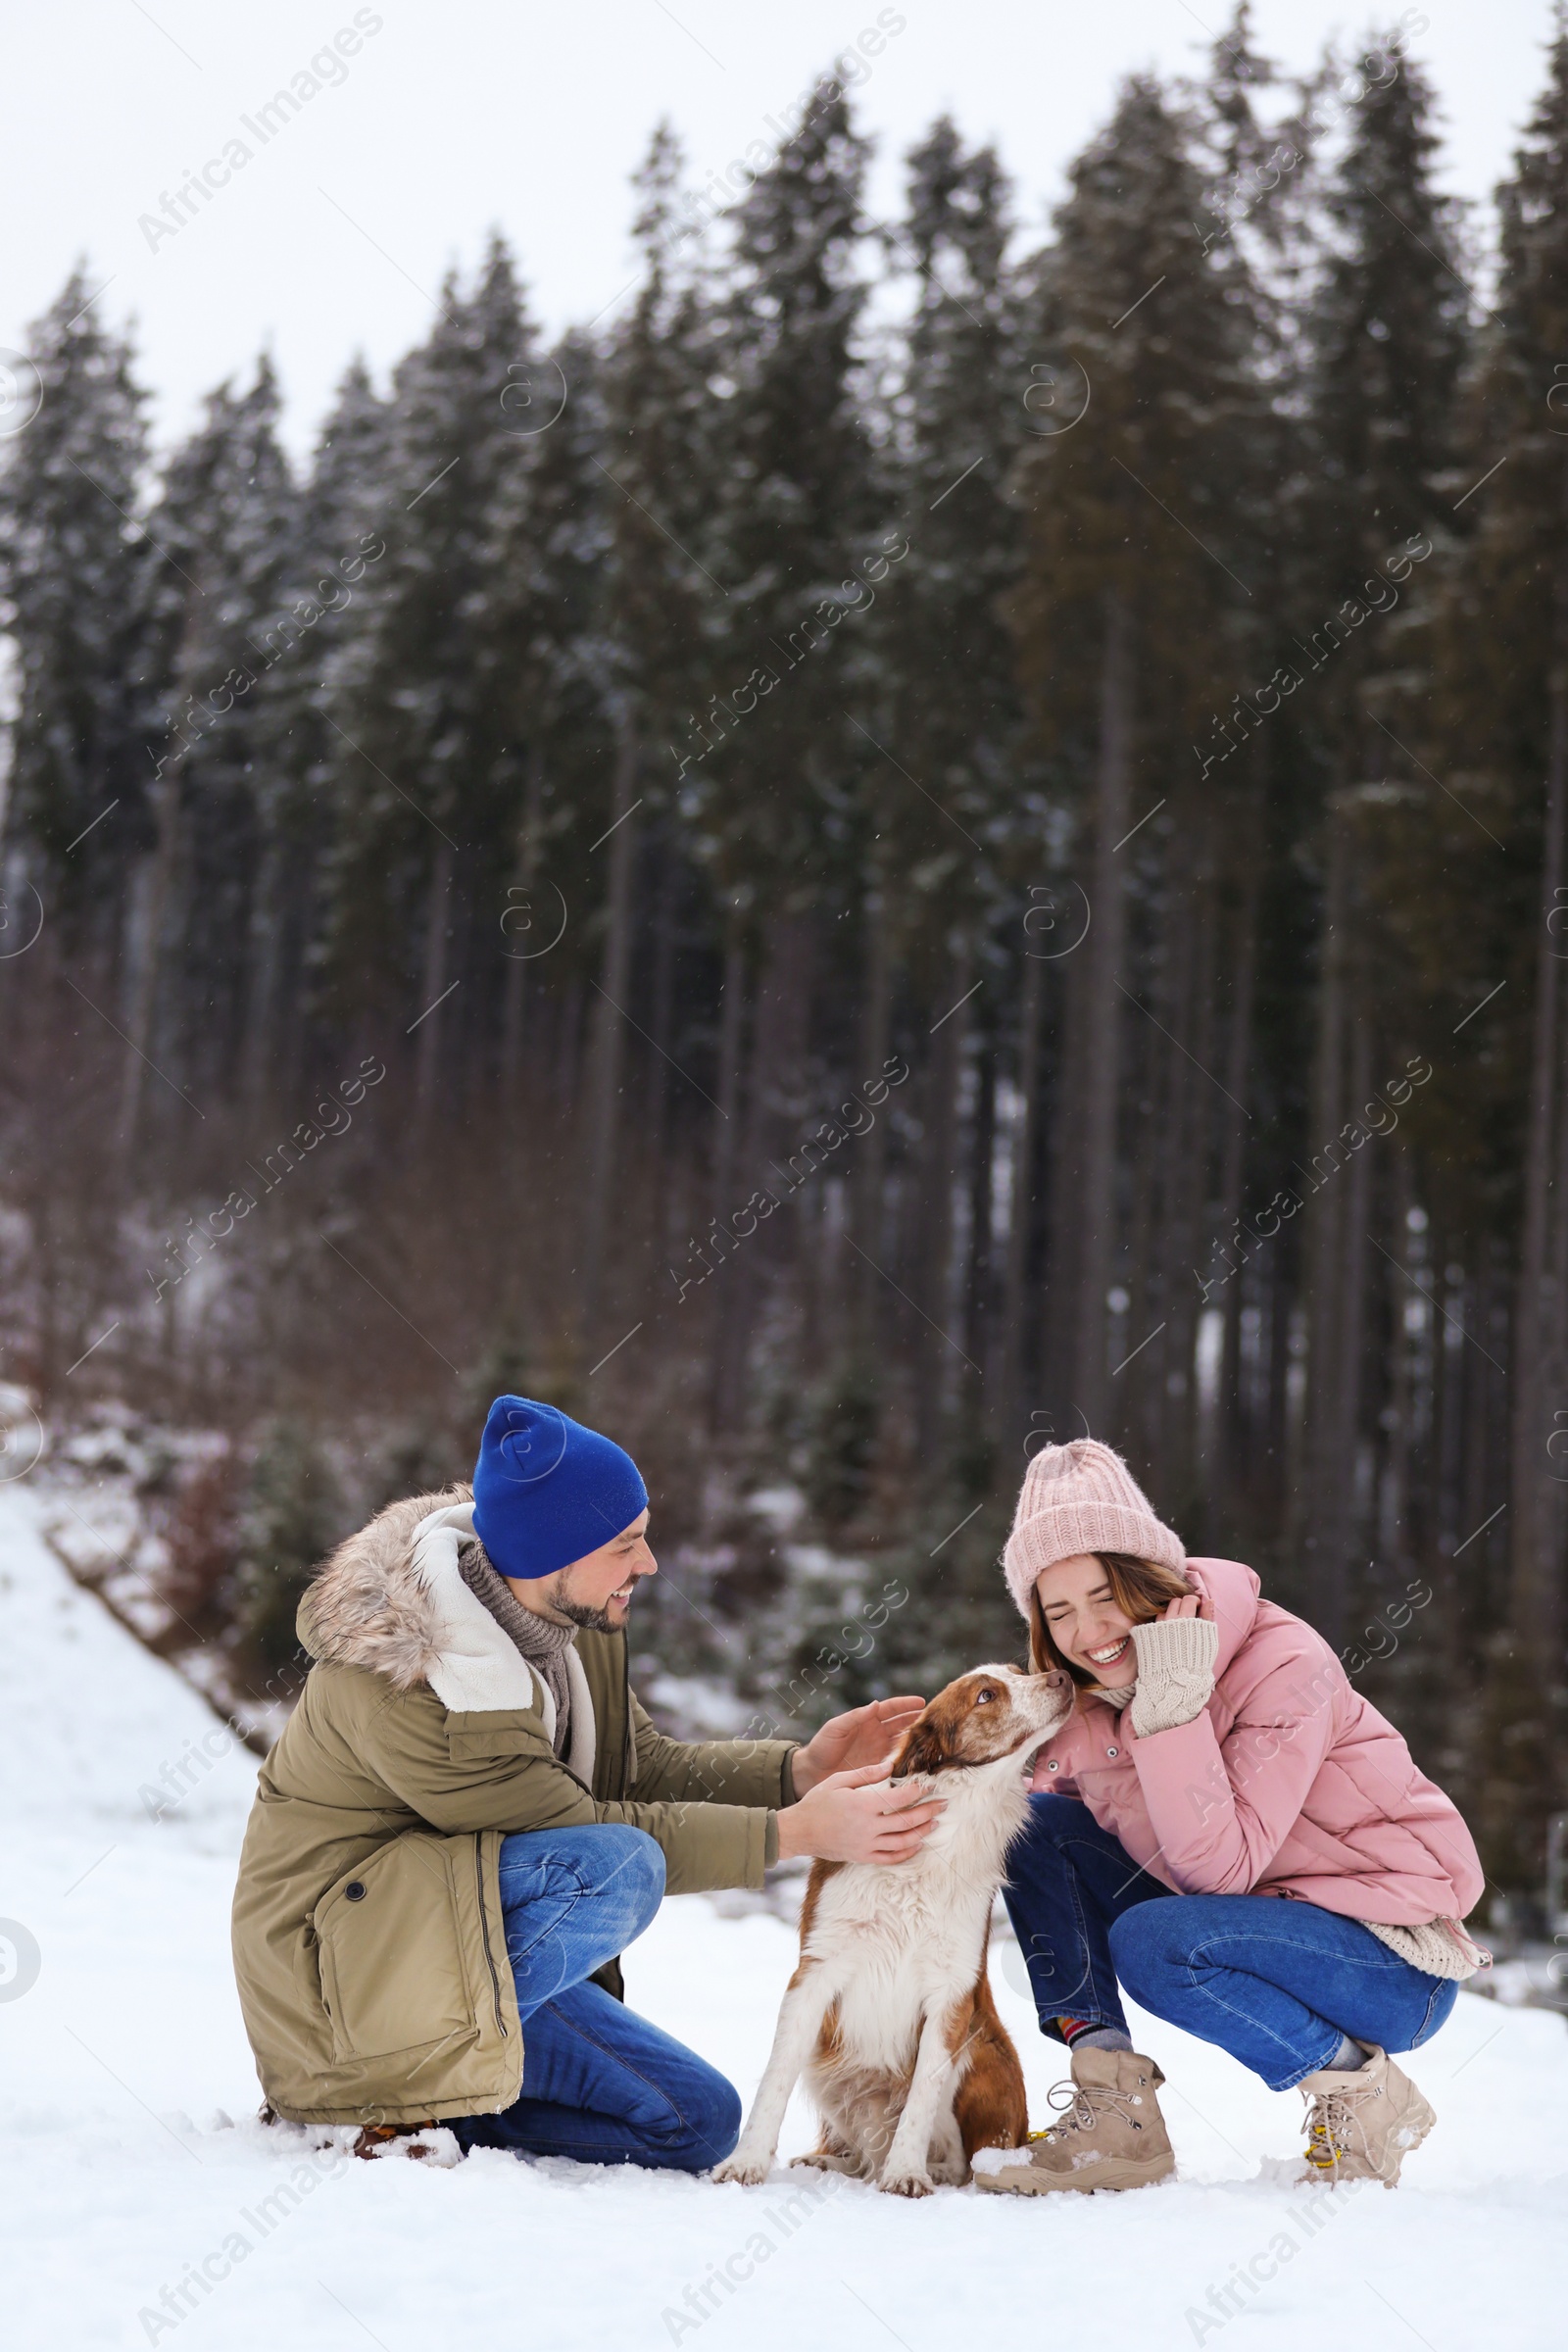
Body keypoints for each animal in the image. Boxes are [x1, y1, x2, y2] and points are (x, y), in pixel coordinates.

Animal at [714, 1665, 1071, 2191]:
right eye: (987, 1695)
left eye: (1020, 1672)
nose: (1063, 1676)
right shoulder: (816, 1971)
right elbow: (774, 2078)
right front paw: (746, 2162)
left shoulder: (951, 1993)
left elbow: (923, 2094)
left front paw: (906, 2173)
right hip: (827, 2063)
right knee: (860, 2149)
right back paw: (829, 2161)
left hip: (978, 2047)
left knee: (964, 2161)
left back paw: (928, 2169)